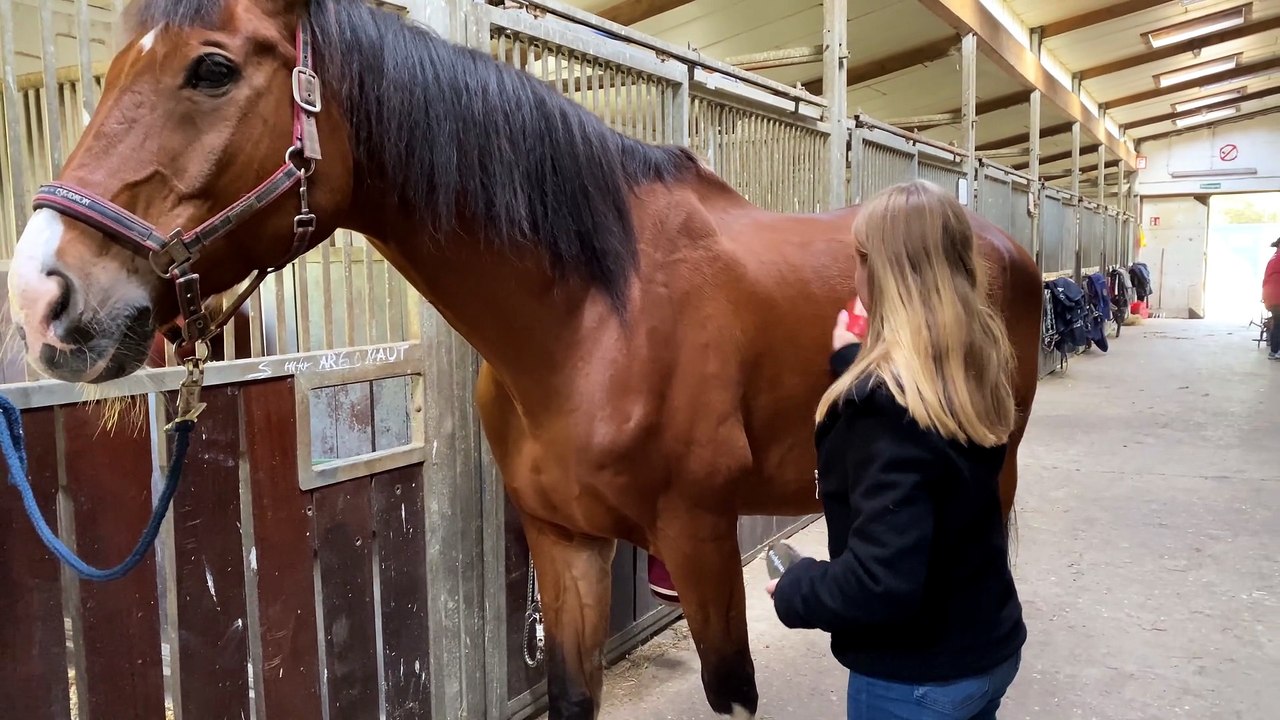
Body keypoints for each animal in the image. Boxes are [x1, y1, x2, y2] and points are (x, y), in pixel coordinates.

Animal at [4, 1, 1043, 717]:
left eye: (212, 70)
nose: (41, 297)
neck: (595, 315)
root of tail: (1001, 242)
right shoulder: (562, 539)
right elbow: (572, 692)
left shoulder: (701, 539)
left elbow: (731, 688)